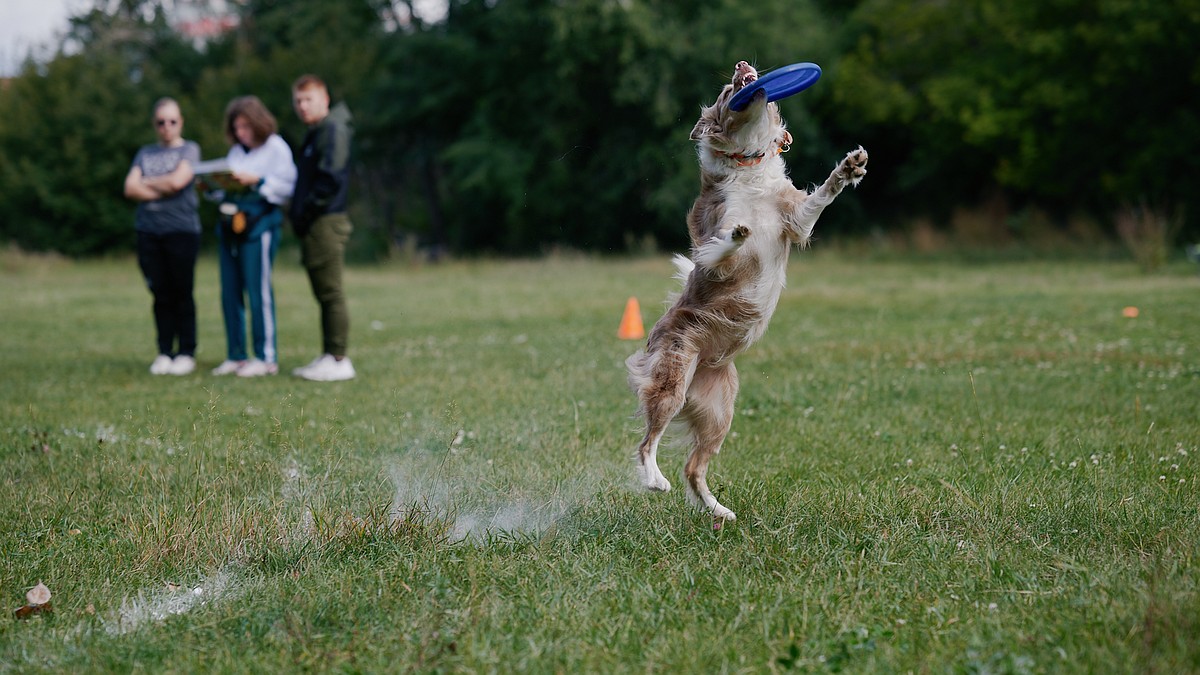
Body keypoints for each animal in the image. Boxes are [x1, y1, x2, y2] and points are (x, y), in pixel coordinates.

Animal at [624, 60, 868, 521]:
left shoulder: (796, 220)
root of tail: (702, 366)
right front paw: (737, 233)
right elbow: (719, 247)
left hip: (720, 411)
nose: (741, 66)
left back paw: (719, 511)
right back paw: (653, 479)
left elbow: (820, 198)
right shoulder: (712, 243)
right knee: (647, 441)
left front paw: (849, 168)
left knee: (694, 467)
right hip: (672, 377)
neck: (747, 165)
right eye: (725, 93)